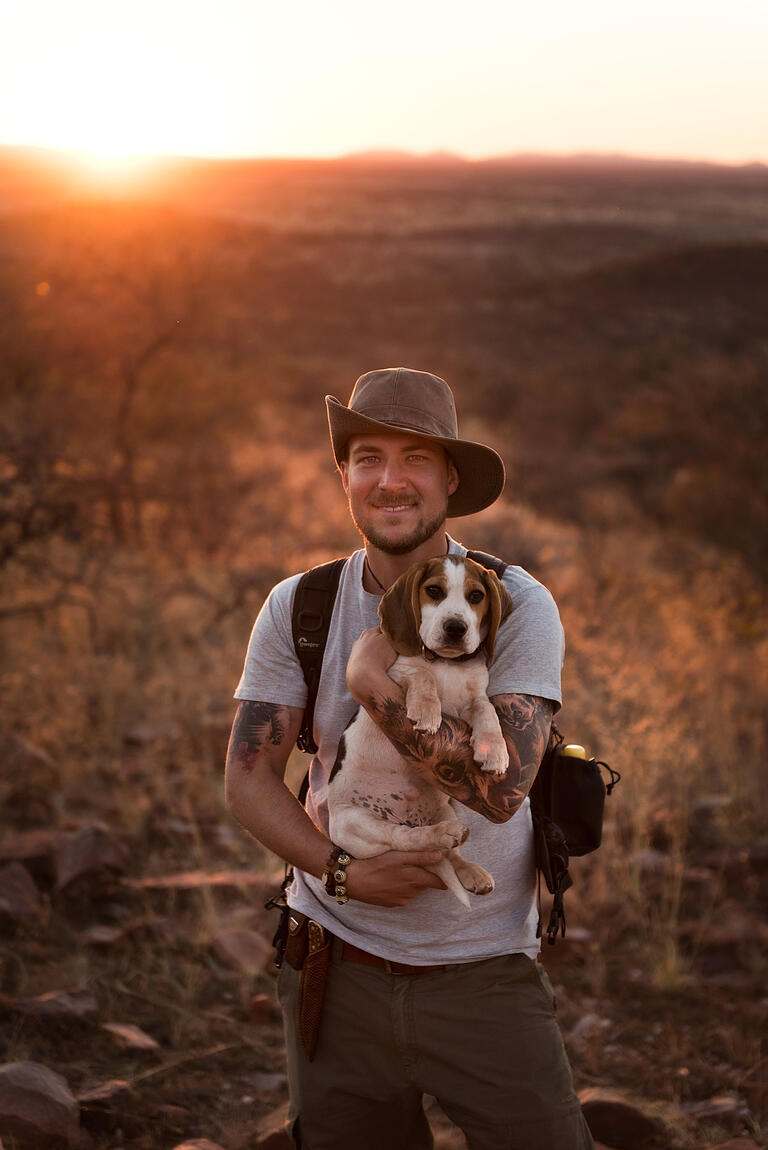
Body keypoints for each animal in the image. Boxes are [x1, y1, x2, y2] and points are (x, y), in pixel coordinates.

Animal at [326, 556, 512, 906]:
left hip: (446, 808)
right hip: (356, 824)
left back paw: (472, 871)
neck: (448, 665)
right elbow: (422, 674)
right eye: (434, 591)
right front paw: (427, 711)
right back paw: (439, 836)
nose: (456, 628)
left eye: (476, 596)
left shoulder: (476, 698)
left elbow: (488, 712)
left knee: (449, 853)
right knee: (407, 838)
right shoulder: (396, 673)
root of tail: (407, 815)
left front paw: (495, 751)